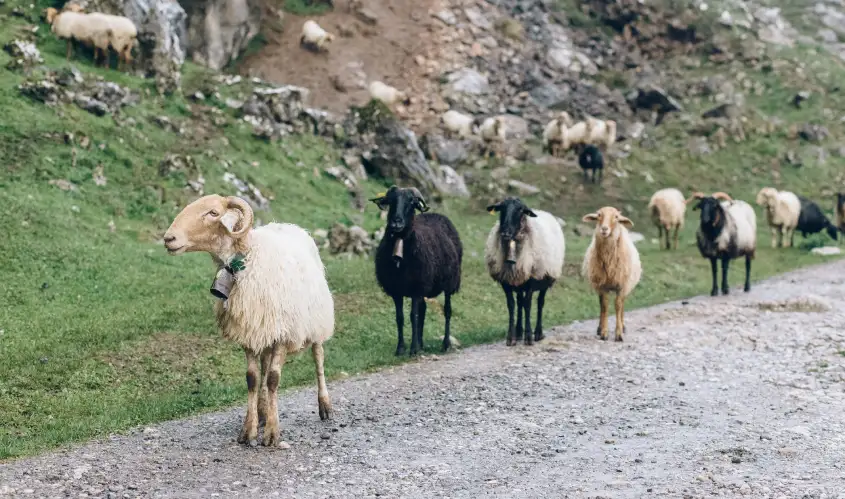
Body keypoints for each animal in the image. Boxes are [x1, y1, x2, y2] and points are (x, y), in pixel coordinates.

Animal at [163, 195, 334, 450]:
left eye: (213, 213)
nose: (169, 239)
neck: (246, 258)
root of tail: (288, 226)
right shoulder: (249, 331)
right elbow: (253, 379)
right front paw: (249, 430)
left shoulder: (283, 332)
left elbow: (273, 379)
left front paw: (272, 433)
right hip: (264, 331)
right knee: (264, 367)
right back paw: (262, 411)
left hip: (315, 321)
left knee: (318, 357)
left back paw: (325, 405)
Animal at [370, 187, 462, 356]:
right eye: (391, 201)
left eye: (411, 203)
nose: (396, 222)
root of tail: (437, 215)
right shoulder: (397, 290)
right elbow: (400, 318)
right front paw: (401, 348)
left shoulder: (416, 288)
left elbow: (413, 316)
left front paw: (413, 348)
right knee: (424, 310)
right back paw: (421, 344)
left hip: (449, 282)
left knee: (447, 311)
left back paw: (445, 344)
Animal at [484, 197, 564, 346]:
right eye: (501, 208)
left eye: (521, 210)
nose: (506, 232)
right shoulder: (506, 281)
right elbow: (511, 305)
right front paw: (511, 337)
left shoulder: (531, 280)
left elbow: (528, 305)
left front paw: (528, 337)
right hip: (519, 281)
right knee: (520, 302)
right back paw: (519, 332)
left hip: (544, 277)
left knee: (539, 303)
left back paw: (538, 333)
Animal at [580, 205, 640, 342]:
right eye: (599, 215)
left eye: (616, 217)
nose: (604, 229)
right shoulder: (602, 286)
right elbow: (605, 307)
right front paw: (604, 332)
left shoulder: (621, 285)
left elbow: (618, 306)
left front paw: (619, 333)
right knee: (601, 305)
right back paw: (599, 328)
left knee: (622, 305)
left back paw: (623, 326)